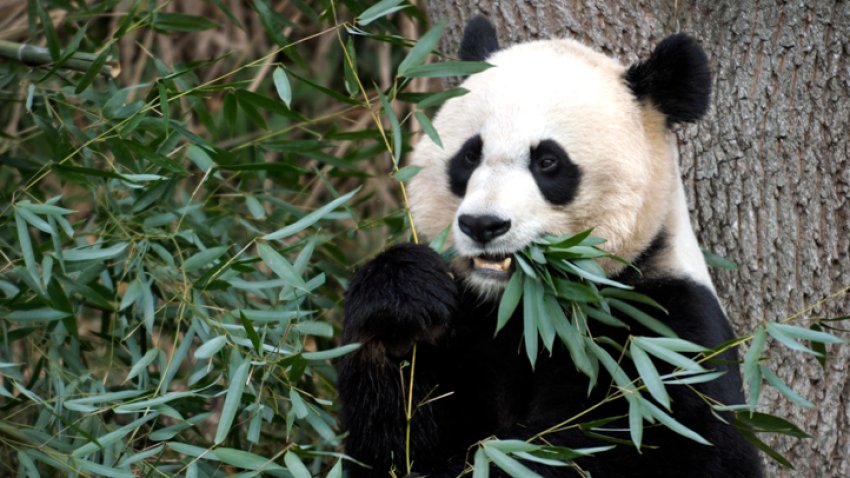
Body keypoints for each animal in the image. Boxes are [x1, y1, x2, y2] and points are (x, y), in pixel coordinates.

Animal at [336, 15, 760, 478]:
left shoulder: (664, 336)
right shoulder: (469, 325)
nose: (482, 224)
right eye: (469, 156)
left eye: (548, 162)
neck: (526, 309)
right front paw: (402, 303)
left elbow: (663, 444)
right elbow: (397, 442)